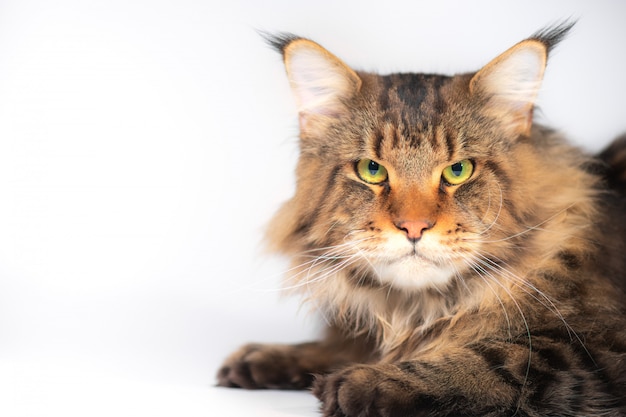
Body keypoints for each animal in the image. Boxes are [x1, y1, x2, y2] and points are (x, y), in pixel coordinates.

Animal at [216, 22, 624, 416]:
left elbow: (495, 359)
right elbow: (342, 345)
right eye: (372, 170)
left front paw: (365, 380)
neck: (415, 308)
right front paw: (269, 356)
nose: (414, 227)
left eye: (459, 170)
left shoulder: (589, 349)